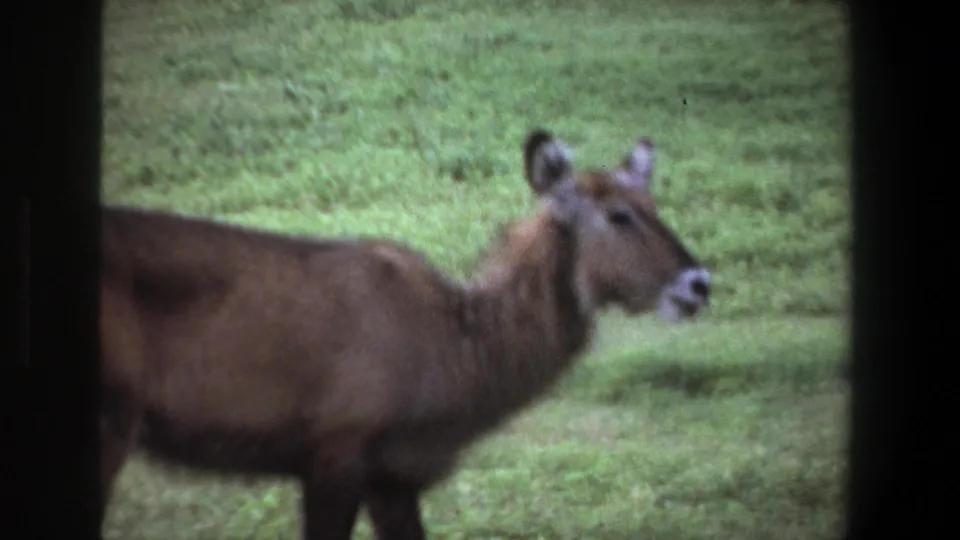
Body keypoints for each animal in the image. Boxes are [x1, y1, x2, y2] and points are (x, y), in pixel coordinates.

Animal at [99, 128, 712, 540]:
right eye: (618, 215)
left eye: (653, 204)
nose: (699, 283)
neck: (457, 353)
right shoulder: (335, 452)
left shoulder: (393, 477)